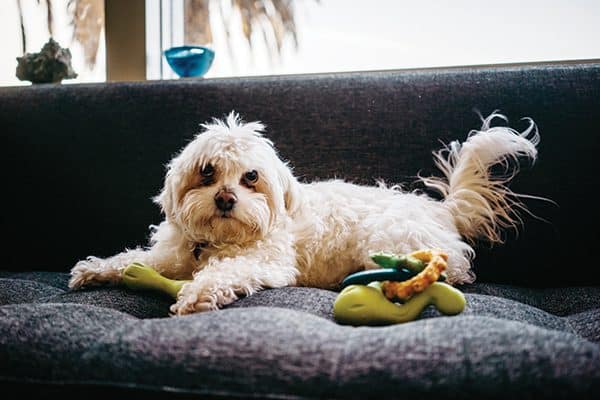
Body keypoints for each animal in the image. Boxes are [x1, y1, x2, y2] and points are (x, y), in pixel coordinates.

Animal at [69, 111, 540, 314]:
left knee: (452, 270)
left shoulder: (264, 262)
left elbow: (224, 273)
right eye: (207, 173)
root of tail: (440, 210)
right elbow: (133, 259)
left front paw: (198, 295)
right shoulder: (171, 256)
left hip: (387, 239)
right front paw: (94, 269)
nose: (225, 199)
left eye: (251, 177)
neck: (220, 241)